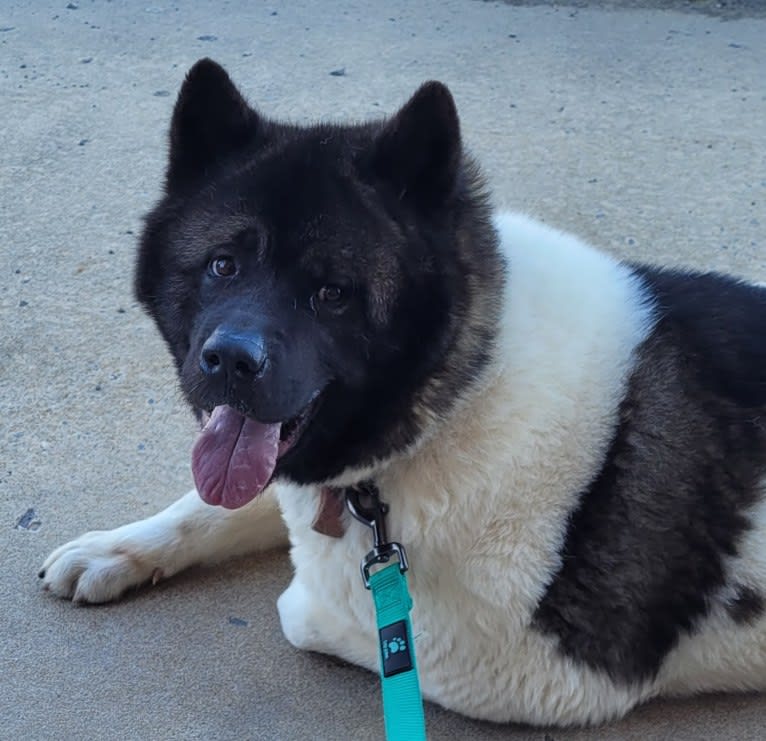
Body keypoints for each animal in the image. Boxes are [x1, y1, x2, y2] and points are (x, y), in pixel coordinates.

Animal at [39, 59, 766, 728]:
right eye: (223, 265)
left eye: (332, 293)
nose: (229, 359)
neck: (463, 390)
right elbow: (220, 504)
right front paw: (115, 548)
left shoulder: (533, 669)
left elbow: (302, 609)